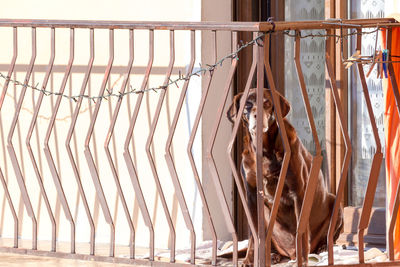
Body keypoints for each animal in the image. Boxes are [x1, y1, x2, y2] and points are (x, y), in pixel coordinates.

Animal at [227, 89, 342, 264]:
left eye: (267, 102)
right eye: (247, 104)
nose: (257, 116)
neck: (265, 151)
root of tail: (289, 253)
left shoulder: (299, 193)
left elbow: (301, 230)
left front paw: (303, 259)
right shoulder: (251, 195)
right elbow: (254, 234)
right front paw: (249, 260)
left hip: (335, 203)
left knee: (328, 238)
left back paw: (321, 248)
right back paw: (273, 255)